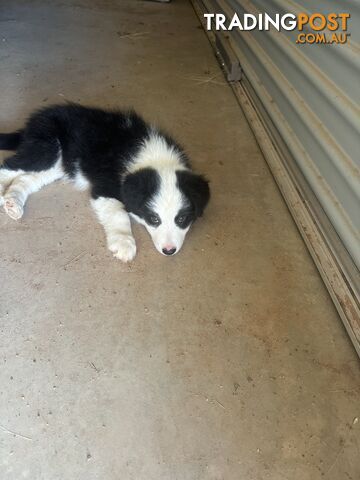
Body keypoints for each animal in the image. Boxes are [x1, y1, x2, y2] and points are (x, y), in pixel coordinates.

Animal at [0, 104, 210, 262]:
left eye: (181, 219)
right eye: (153, 219)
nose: (169, 250)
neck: (152, 156)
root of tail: (32, 122)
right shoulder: (105, 187)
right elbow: (119, 214)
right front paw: (124, 243)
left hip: (58, 164)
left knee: (26, 178)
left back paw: (13, 204)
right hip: (47, 148)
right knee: (8, 166)